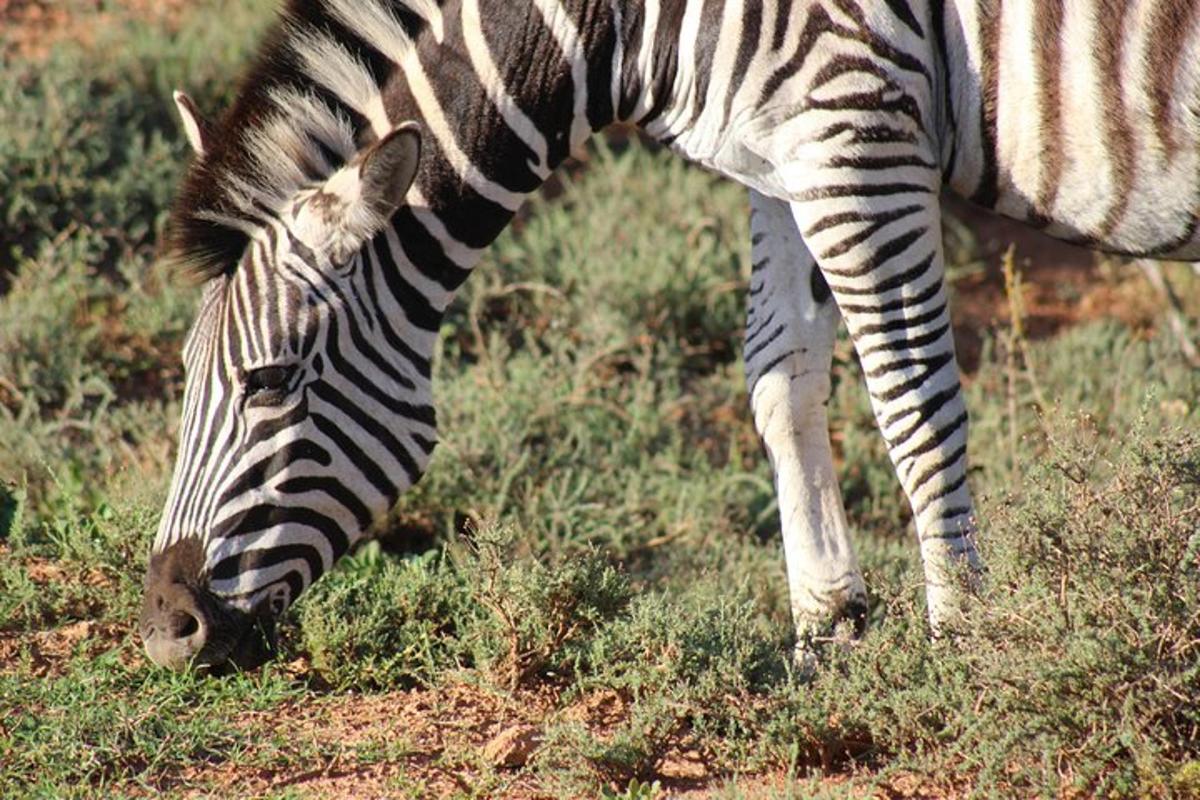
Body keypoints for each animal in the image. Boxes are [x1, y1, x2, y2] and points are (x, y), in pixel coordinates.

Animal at [138, 0, 1200, 671]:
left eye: (271, 381)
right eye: (183, 377)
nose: (163, 629)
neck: (628, 23)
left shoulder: (858, 130)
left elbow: (910, 401)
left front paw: (966, 651)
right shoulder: (785, 154)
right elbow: (780, 372)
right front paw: (827, 630)